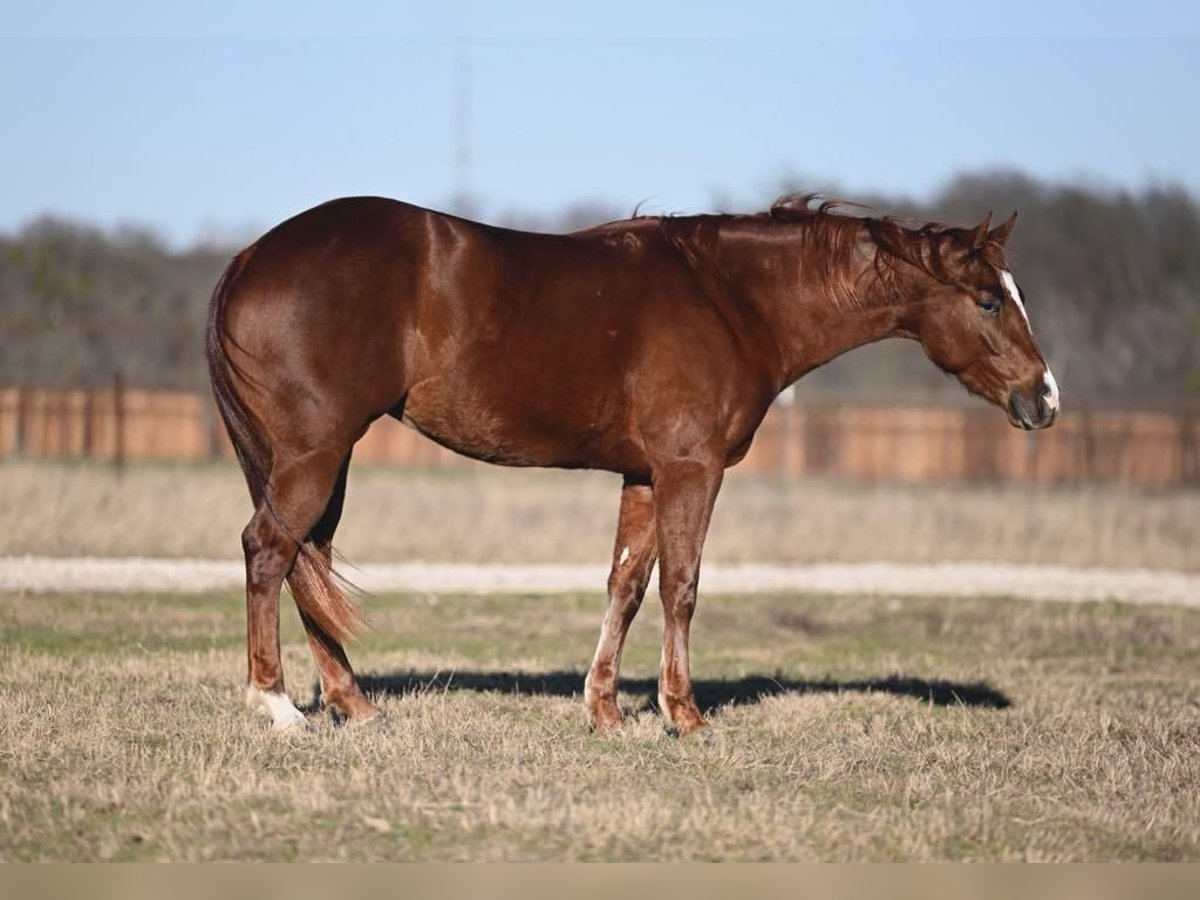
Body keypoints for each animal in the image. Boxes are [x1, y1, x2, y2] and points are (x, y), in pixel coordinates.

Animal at [206, 194, 1060, 734]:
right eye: (989, 299)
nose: (1044, 397)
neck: (731, 300)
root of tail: (250, 255)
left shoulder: (645, 476)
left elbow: (626, 584)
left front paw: (606, 710)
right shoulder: (691, 469)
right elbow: (681, 586)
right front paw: (685, 715)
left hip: (325, 460)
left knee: (308, 563)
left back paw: (354, 704)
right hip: (315, 454)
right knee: (269, 551)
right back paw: (277, 706)